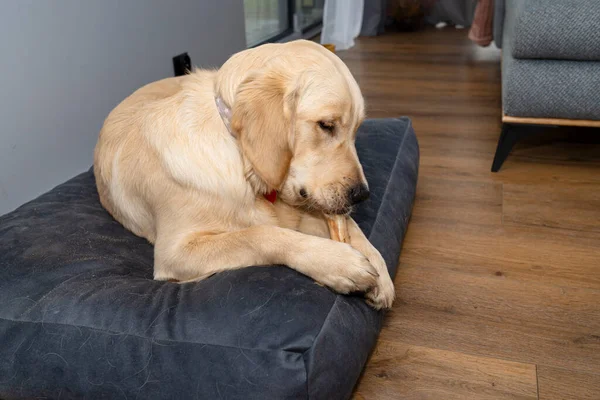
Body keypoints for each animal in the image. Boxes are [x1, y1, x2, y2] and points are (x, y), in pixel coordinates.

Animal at [92, 39, 394, 308]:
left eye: (357, 129)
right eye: (326, 125)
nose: (362, 195)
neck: (241, 159)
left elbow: (350, 226)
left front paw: (378, 268)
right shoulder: (176, 252)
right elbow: (260, 234)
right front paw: (338, 262)